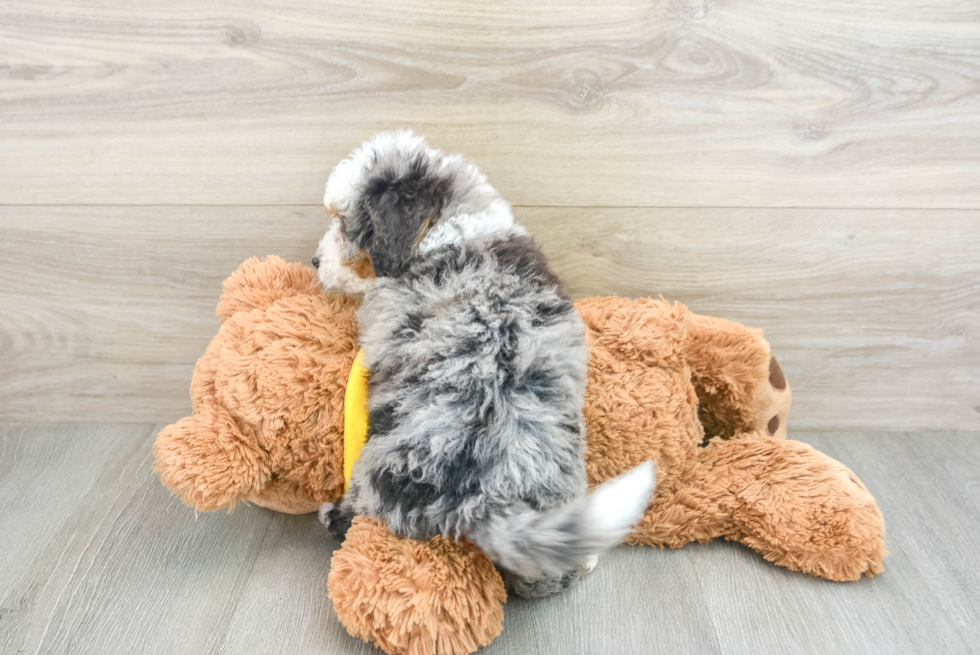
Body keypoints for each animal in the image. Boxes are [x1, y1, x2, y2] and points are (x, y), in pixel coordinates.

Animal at [314, 131, 652, 596]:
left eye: (345, 225)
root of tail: (484, 491)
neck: (447, 230)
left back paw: (334, 515)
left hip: (377, 467)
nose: (314, 262)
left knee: (362, 511)